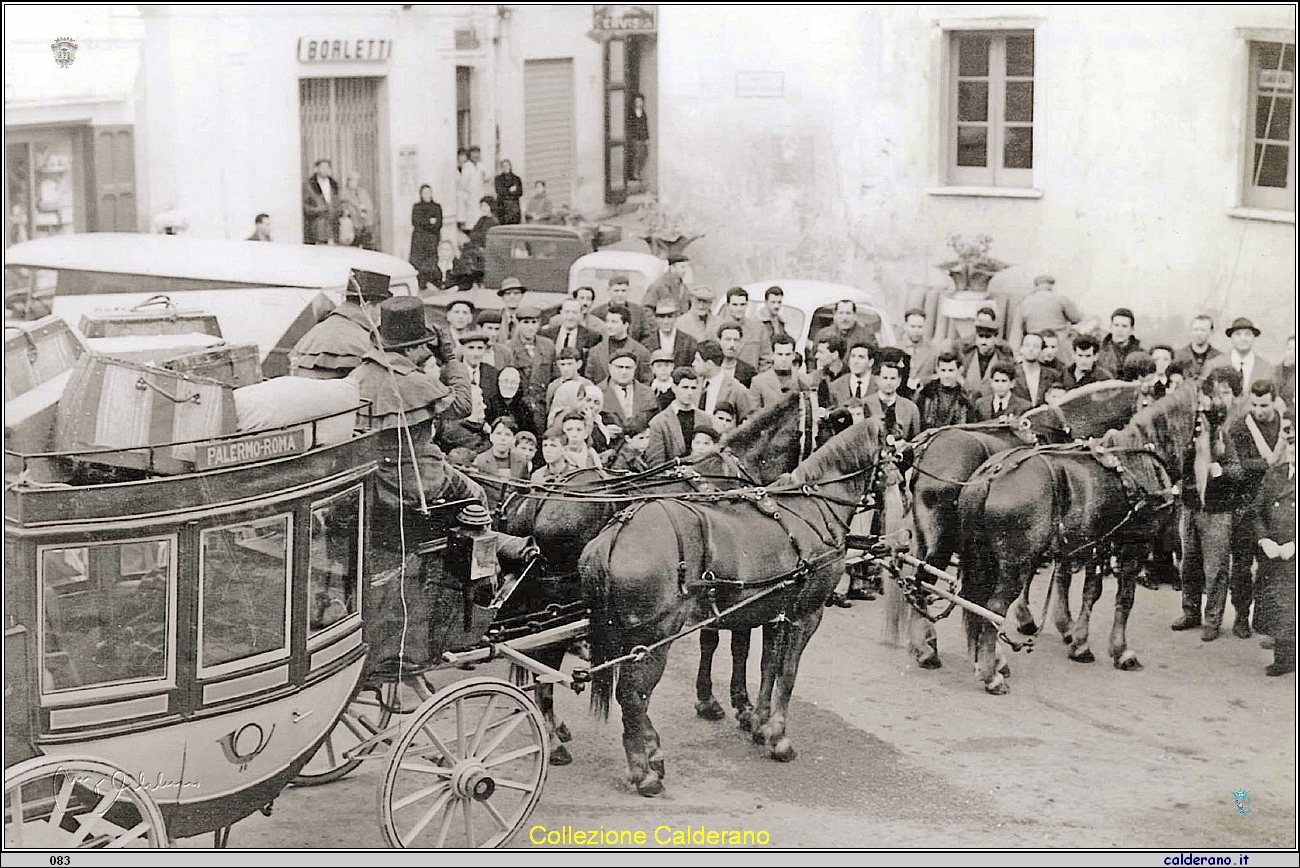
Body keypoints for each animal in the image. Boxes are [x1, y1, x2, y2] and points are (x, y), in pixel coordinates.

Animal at [491, 389, 816, 753]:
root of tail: (537, 498)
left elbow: (718, 641)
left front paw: (717, 700)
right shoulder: (740, 584)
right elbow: (737, 644)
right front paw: (737, 704)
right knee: (545, 660)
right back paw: (553, 735)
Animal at [582, 418, 878, 795]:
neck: (811, 509)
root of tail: (616, 532)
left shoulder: (774, 613)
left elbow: (768, 667)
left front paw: (759, 723)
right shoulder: (806, 615)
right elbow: (788, 674)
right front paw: (779, 738)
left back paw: (651, 755)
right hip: (651, 641)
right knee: (633, 697)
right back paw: (644, 772)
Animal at [894, 376, 1149, 670]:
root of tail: (926, 449)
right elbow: (1055, 576)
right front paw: (1053, 625)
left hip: (925, 537)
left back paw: (923, 644)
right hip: (943, 540)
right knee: (924, 582)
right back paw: (931, 652)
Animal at [951, 384, 1201, 691]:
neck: (1137, 460)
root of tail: (990, 476)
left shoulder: (1095, 543)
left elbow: (1087, 589)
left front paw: (1077, 639)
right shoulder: (1133, 544)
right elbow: (1122, 598)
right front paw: (1120, 651)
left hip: (985, 558)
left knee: (975, 604)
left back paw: (984, 662)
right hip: (1014, 563)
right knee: (993, 608)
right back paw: (992, 674)